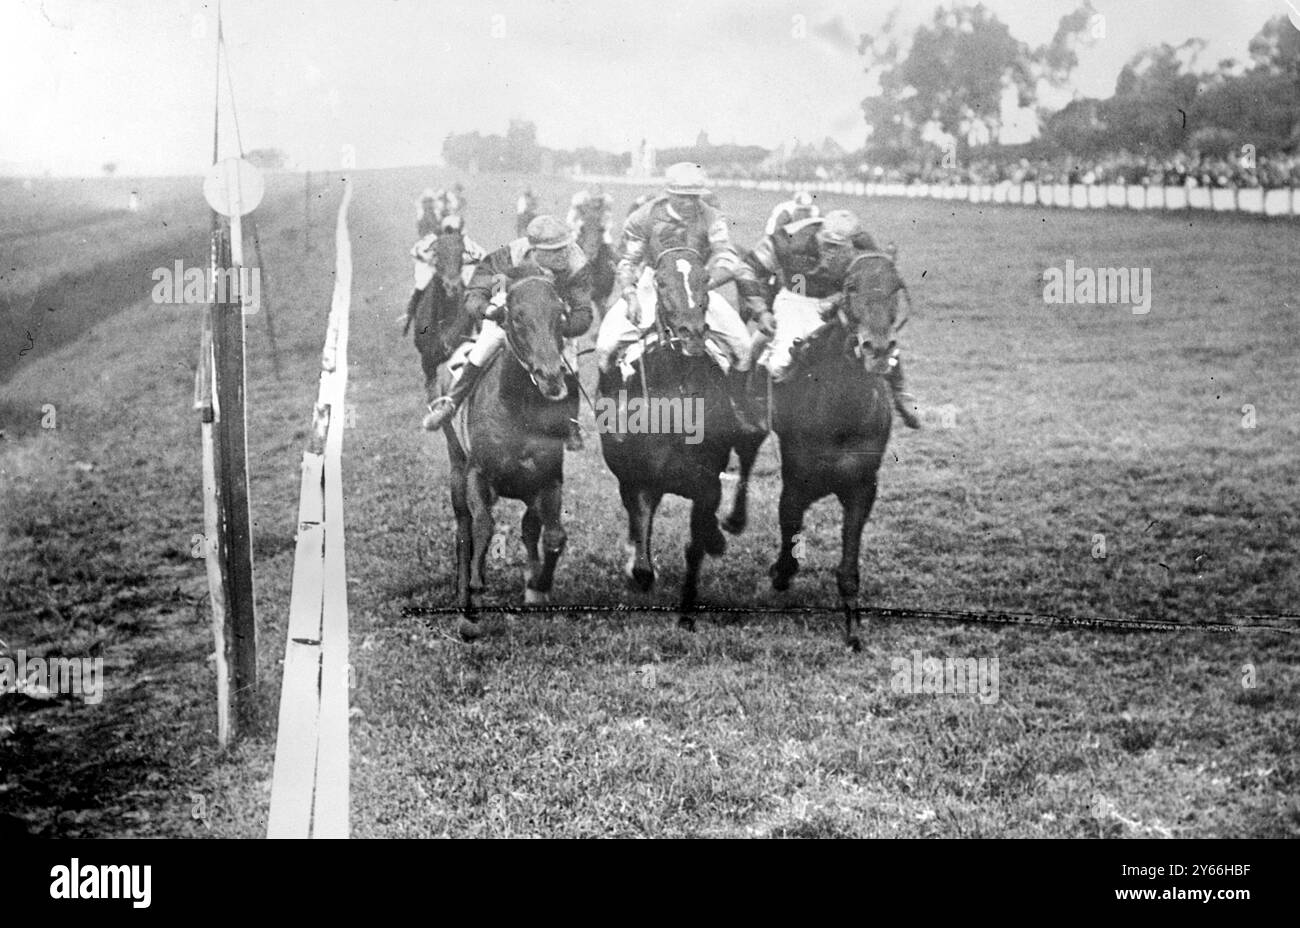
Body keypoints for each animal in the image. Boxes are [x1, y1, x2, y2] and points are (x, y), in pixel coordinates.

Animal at [441, 263, 579, 618]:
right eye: (517, 317)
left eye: (559, 314)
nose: (551, 376)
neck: (518, 408)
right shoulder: (477, 474)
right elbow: (483, 526)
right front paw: (475, 590)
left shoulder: (547, 479)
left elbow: (553, 535)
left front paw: (537, 586)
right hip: (456, 466)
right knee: (464, 527)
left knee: (530, 527)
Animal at [595, 241, 764, 626]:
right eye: (660, 282)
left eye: (705, 278)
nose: (691, 334)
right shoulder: (638, 478)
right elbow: (642, 540)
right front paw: (638, 569)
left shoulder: (705, 482)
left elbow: (697, 541)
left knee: (749, 449)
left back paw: (732, 522)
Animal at [759, 249, 904, 647]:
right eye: (850, 287)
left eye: (897, 287)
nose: (878, 348)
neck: (841, 414)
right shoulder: (795, 480)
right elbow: (789, 525)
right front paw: (780, 573)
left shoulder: (862, 487)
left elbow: (849, 563)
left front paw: (853, 629)